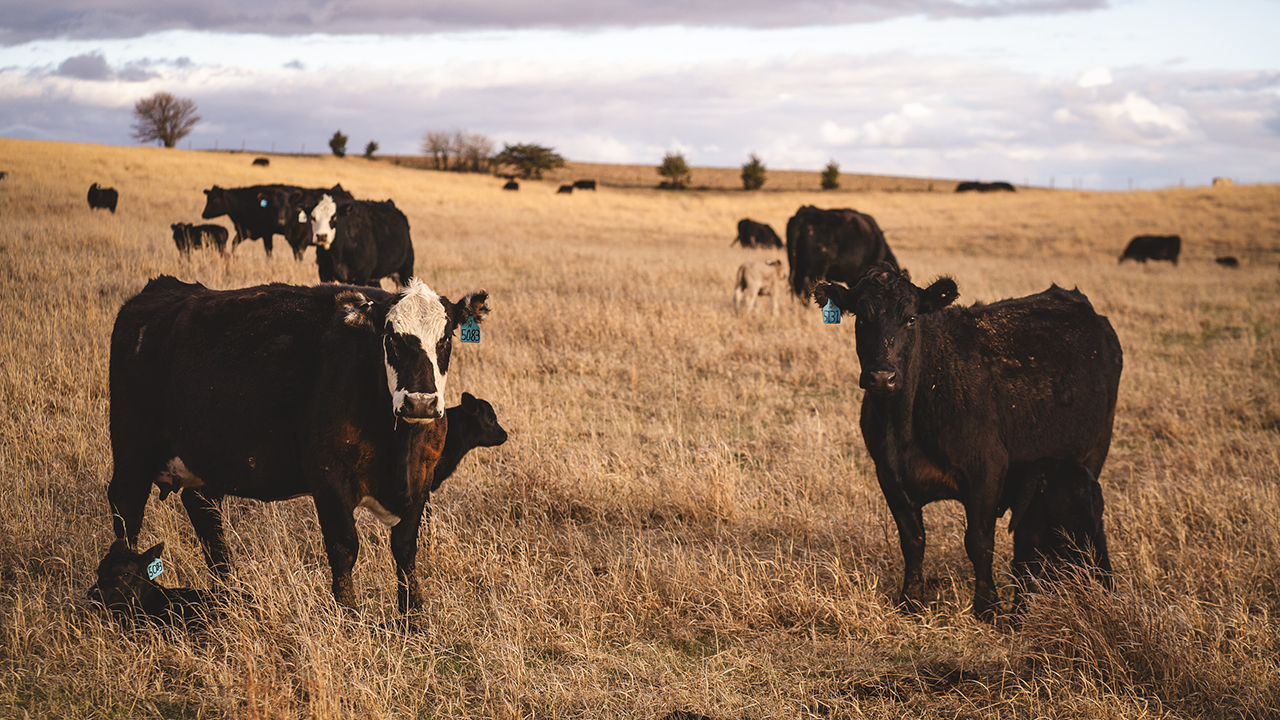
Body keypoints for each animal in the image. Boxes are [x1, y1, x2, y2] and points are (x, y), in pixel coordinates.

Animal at [107, 275, 491, 612]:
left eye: (445, 339)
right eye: (392, 338)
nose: (420, 403)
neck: (399, 445)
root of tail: (159, 291)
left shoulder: (422, 479)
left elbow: (405, 550)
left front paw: (413, 620)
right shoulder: (329, 478)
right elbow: (344, 548)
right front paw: (349, 618)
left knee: (206, 517)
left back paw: (229, 593)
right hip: (132, 454)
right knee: (127, 511)